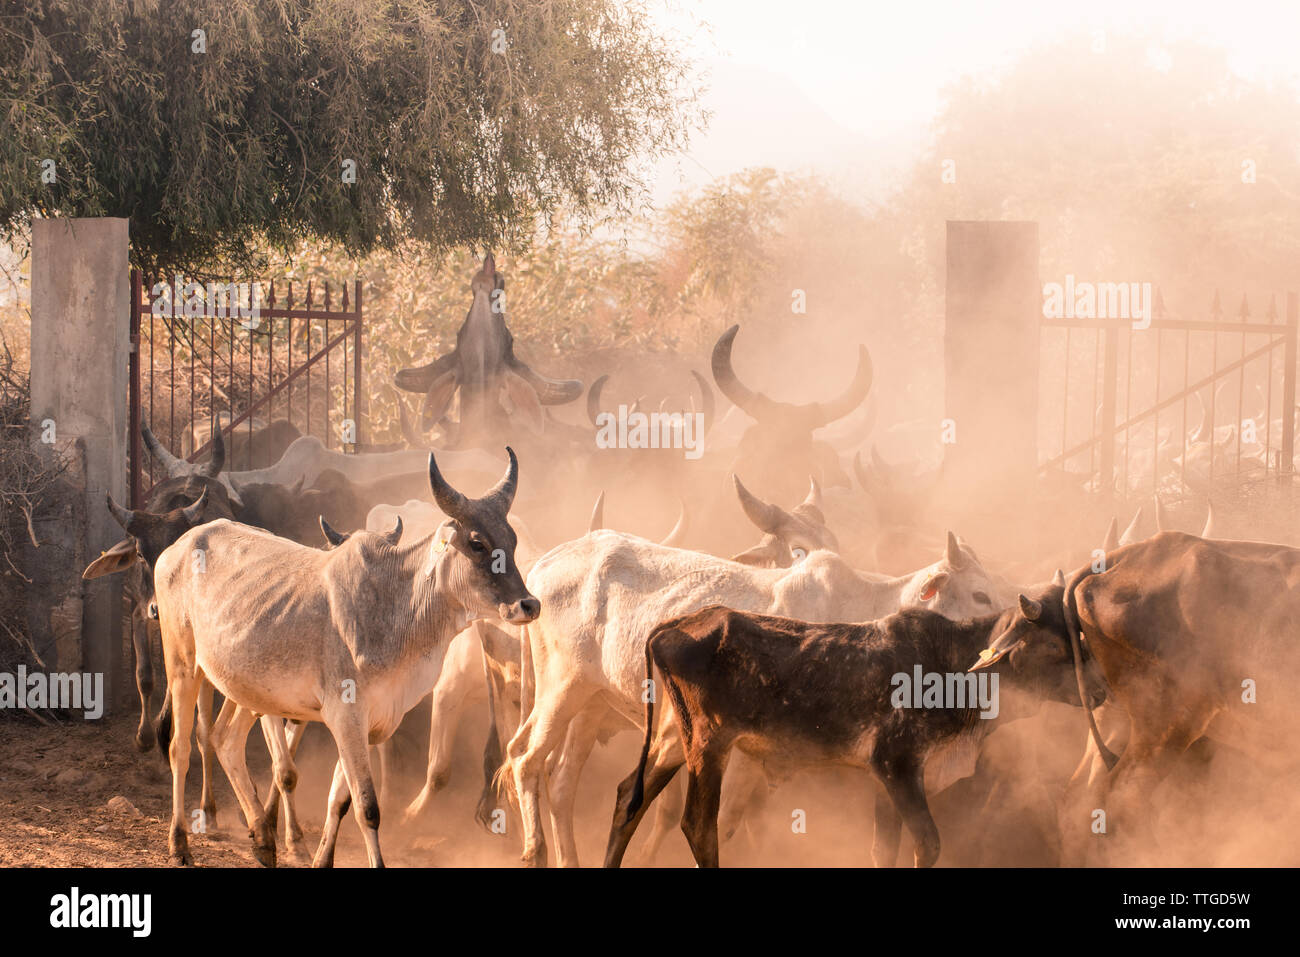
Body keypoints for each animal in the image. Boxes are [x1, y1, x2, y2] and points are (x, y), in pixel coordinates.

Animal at [151, 448, 539, 867]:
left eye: (512, 539)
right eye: (477, 543)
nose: (528, 604)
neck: (398, 606)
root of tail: (179, 546)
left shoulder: (367, 725)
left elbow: (339, 801)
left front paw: (320, 858)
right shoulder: (346, 716)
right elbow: (367, 808)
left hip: (249, 687)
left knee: (225, 740)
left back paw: (263, 839)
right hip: (184, 665)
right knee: (180, 748)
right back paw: (180, 843)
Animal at [503, 515, 1011, 867]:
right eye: (979, 594)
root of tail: (547, 562)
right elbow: (722, 822)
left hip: (592, 704)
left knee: (561, 782)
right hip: (562, 689)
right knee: (525, 759)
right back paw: (535, 851)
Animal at [607, 600, 1101, 867]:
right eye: (1053, 645)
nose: (1098, 689)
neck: (953, 665)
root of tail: (679, 623)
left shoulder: (887, 779)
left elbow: (885, 849)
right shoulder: (897, 763)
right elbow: (928, 843)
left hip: (673, 740)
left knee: (628, 798)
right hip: (709, 745)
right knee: (698, 824)